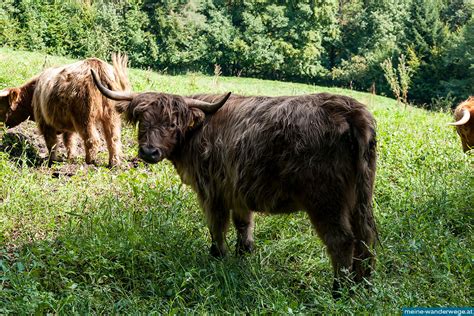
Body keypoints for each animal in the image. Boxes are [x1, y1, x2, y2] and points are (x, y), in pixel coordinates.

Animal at [0, 55, 130, 167]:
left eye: (1, 107)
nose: (2, 126)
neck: (32, 94)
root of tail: (98, 65)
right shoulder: (68, 126)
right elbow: (69, 141)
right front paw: (70, 157)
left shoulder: (45, 122)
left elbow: (52, 143)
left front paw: (52, 160)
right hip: (112, 115)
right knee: (113, 138)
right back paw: (114, 163)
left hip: (84, 116)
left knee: (92, 139)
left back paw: (89, 161)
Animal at [90, 69, 378, 298]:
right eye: (143, 122)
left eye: (172, 124)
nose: (149, 152)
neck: (196, 131)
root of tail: (351, 111)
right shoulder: (238, 189)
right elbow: (243, 223)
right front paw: (243, 253)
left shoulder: (211, 191)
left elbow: (217, 226)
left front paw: (218, 256)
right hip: (360, 196)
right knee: (366, 236)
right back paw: (363, 284)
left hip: (325, 199)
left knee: (342, 240)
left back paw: (339, 290)